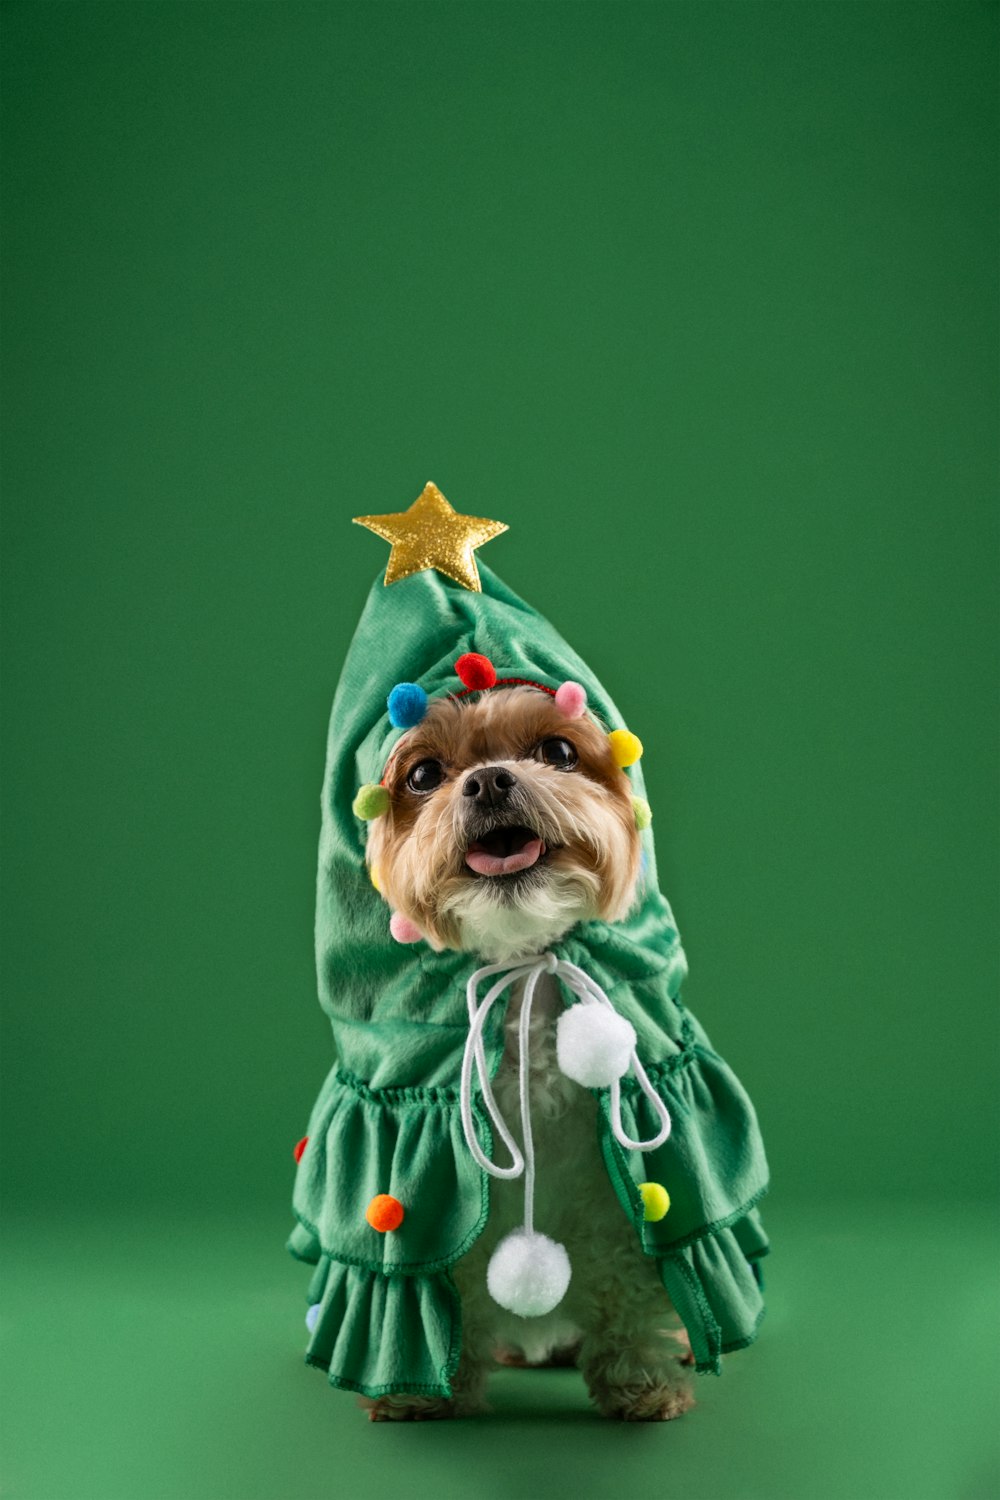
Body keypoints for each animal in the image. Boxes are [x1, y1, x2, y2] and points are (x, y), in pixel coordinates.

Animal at [364, 687, 701, 1416]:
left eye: (559, 751)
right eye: (423, 775)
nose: (490, 780)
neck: (520, 964)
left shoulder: (611, 1196)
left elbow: (629, 1283)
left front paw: (641, 1381)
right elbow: (439, 1278)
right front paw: (421, 1388)